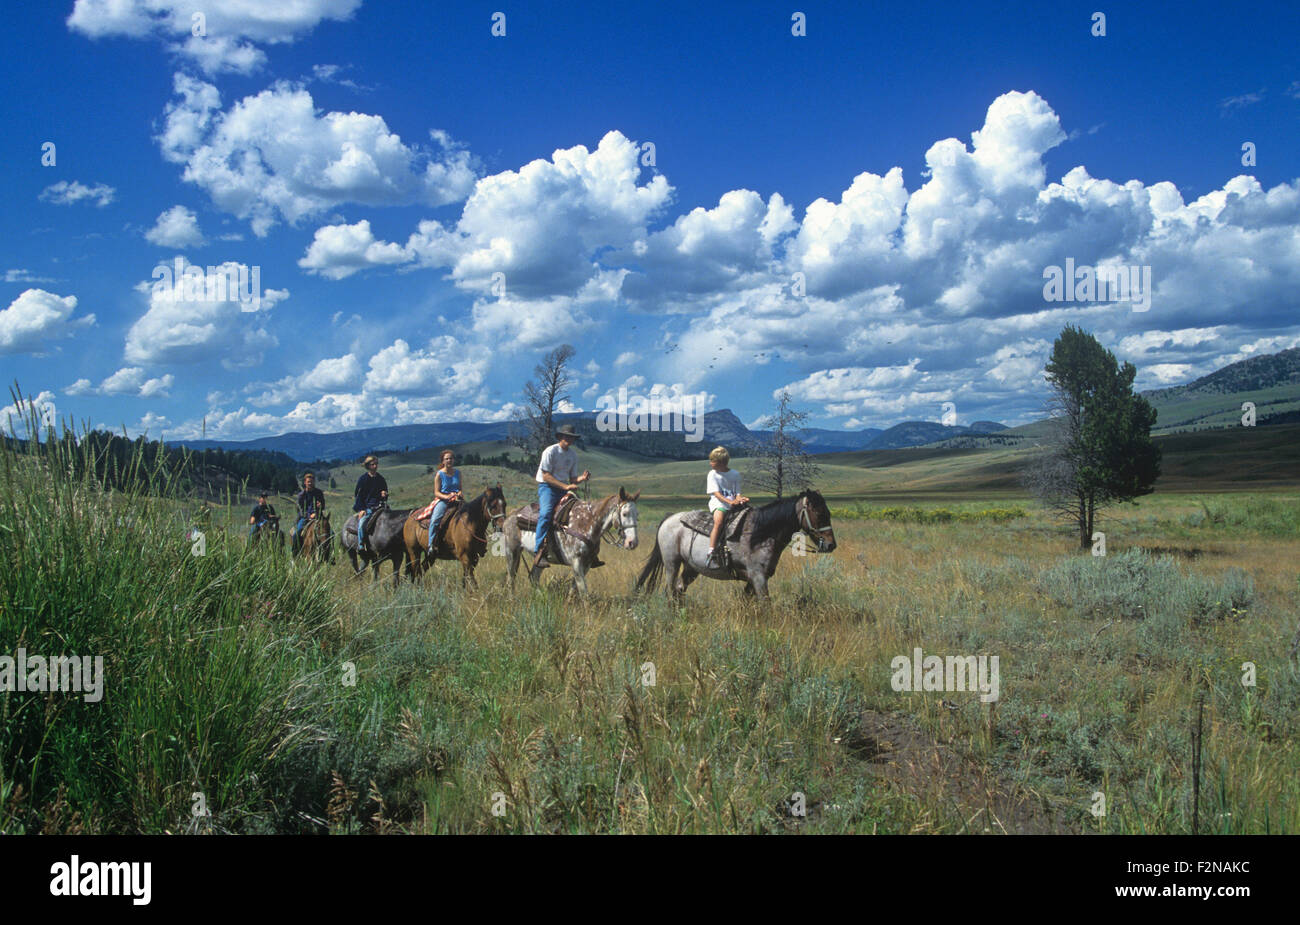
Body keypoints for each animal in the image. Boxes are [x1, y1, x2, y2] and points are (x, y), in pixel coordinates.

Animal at [499, 488, 637, 595]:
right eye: (624, 514)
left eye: (637, 514)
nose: (632, 542)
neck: (587, 522)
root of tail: (511, 516)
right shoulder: (576, 562)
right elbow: (583, 592)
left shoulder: (587, 564)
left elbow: (574, 589)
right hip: (512, 551)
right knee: (511, 578)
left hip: (540, 558)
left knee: (533, 577)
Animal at [634, 491, 837, 600]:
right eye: (819, 514)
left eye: (828, 513)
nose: (831, 545)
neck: (761, 533)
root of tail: (669, 518)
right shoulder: (758, 576)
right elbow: (766, 604)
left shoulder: (755, 578)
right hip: (672, 564)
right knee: (669, 590)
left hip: (691, 568)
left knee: (679, 590)